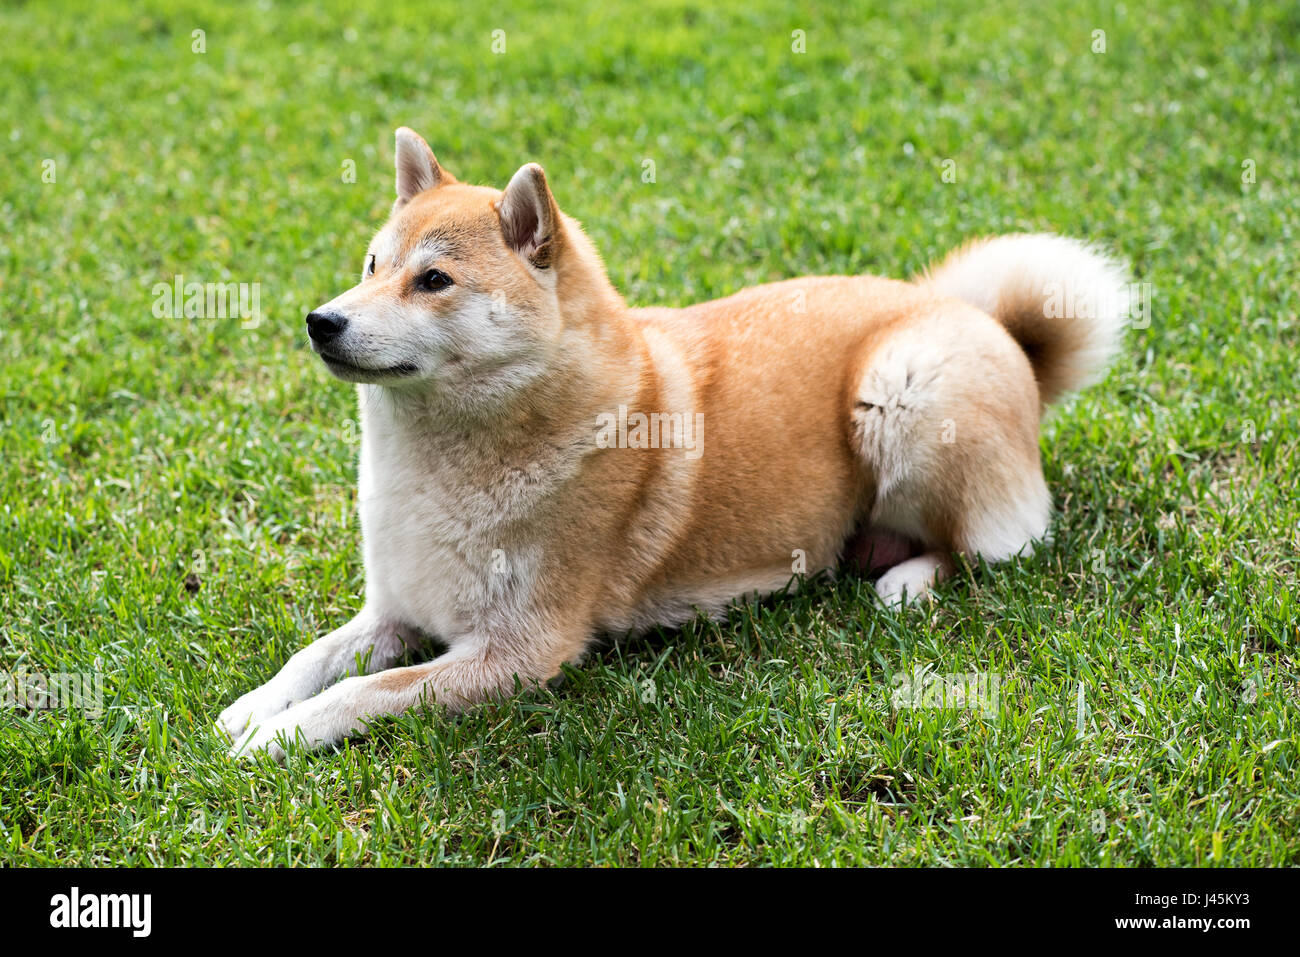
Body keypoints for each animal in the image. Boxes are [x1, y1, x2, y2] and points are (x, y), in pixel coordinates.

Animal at [215, 127, 1128, 759]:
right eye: (372, 265)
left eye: (433, 280)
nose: (320, 320)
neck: (442, 466)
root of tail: (993, 328)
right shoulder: (395, 610)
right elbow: (315, 657)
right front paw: (255, 705)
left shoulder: (517, 653)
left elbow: (366, 690)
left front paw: (283, 734)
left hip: (902, 387)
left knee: (990, 548)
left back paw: (906, 578)